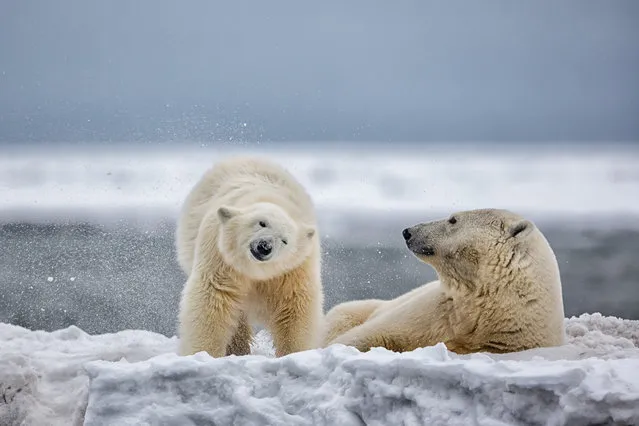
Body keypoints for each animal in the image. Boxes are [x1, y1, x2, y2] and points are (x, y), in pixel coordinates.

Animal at [176, 156, 322, 356]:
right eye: (261, 223)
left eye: (284, 240)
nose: (265, 246)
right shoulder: (220, 255)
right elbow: (213, 298)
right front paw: (203, 353)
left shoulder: (295, 267)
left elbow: (295, 305)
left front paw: (295, 352)